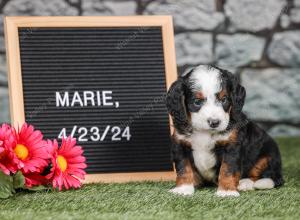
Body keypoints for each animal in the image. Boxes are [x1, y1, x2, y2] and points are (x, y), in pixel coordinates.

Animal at [166, 65, 284, 198]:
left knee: (269, 176)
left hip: (268, 154)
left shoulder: (232, 145)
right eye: (197, 101)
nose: (214, 122)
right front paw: (183, 189)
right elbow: (183, 168)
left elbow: (228, 169)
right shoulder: (180, 144)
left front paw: (227, 191)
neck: (204, 132)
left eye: (224, 99)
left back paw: (246, 183)